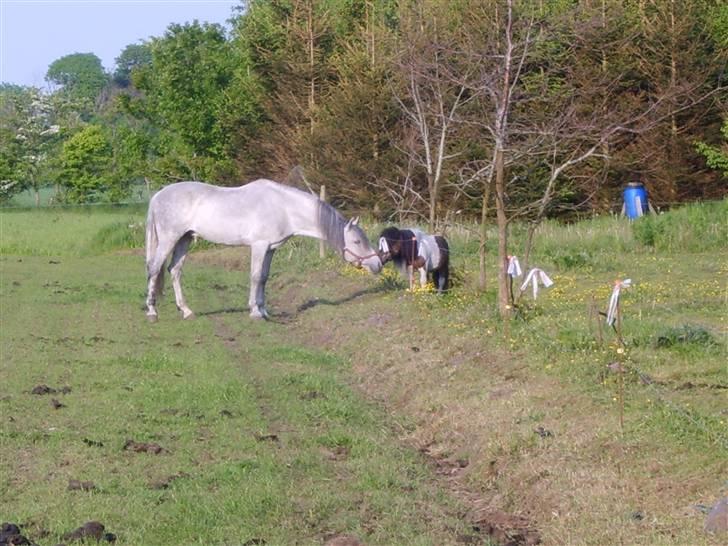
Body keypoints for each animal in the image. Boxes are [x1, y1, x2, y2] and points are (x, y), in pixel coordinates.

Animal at [142, 178, 382, 318]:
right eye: (357, 242)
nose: (378, 264)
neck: (284, 207)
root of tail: (157, 196)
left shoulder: (271, 248)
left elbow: (265, 278)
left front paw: (264, 310)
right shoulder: (259, 246)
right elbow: (255, 276)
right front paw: (255, 311)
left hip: (185, 239)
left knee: (174, 270)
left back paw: (186, 310)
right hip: (169, 238)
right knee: (154, 269)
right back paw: (152, 311)